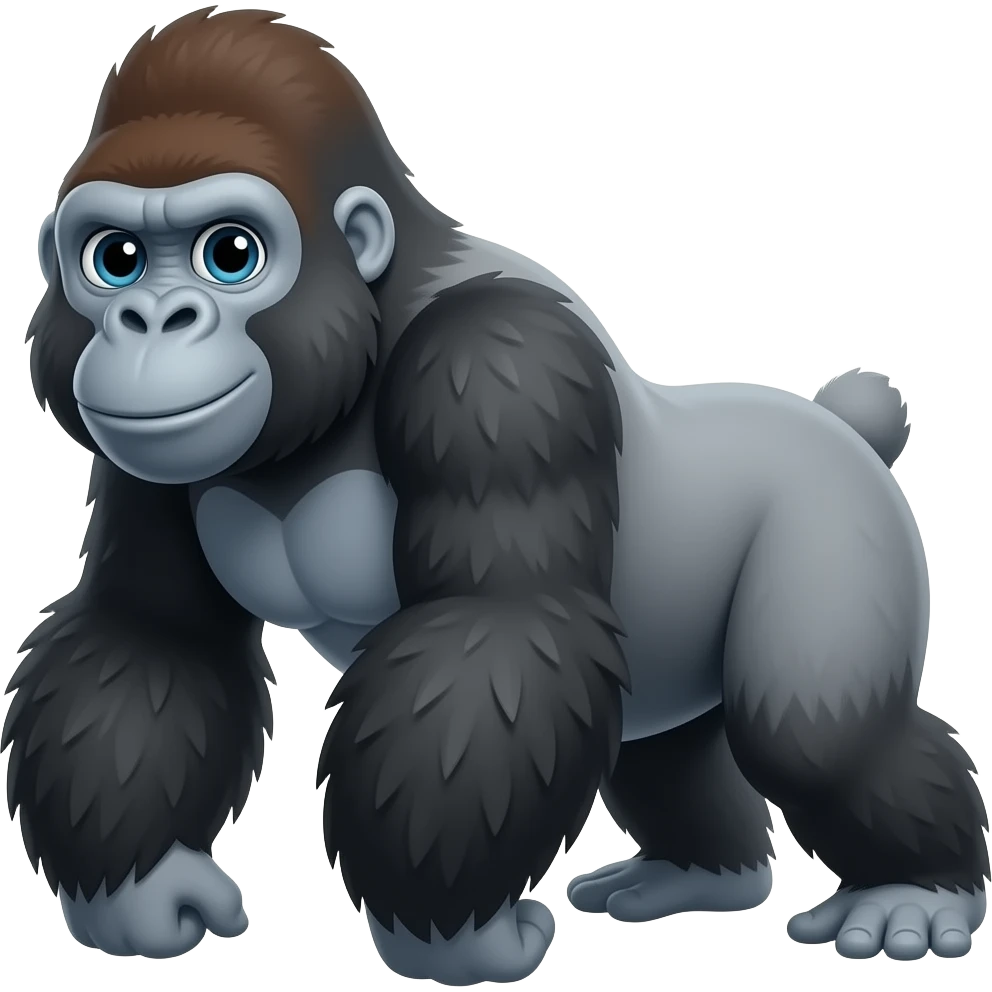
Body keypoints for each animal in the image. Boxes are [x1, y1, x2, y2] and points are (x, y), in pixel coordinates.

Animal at [5, 6, 987, 981]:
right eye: (118, 259)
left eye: (231, 253)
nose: (152, 320)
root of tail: (837, 423)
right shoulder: (140, 459)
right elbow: (152, 633)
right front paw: (138, 891)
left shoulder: (498, 368)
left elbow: (498, 631)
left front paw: (445, 935)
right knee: (662, 750)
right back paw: (699, 876)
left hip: (837, 517)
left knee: (810, 736)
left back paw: (920, 891)